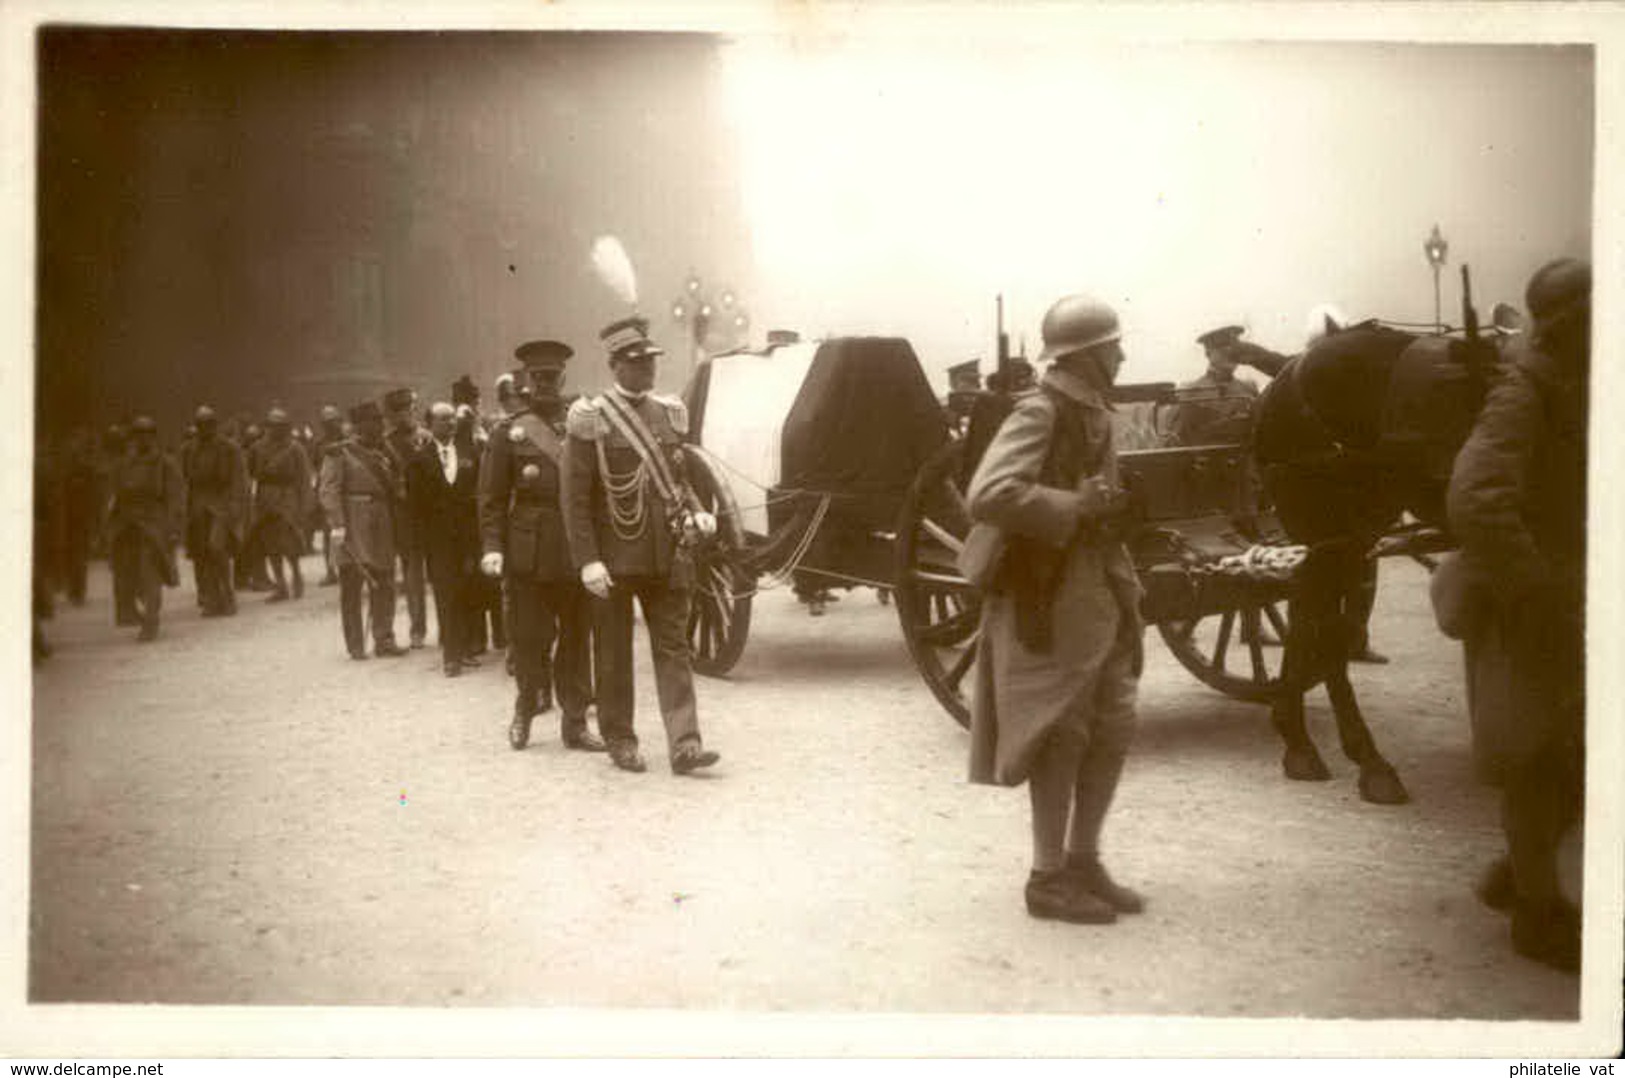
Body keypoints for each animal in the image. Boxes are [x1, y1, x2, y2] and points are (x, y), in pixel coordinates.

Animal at [1228, 317, 1495, 806]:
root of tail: (1288, 369)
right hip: (1323, 517)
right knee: (1326, 625)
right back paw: (1366, 762)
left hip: (1350, 529)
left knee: (1311, 610)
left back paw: (1298, 737)